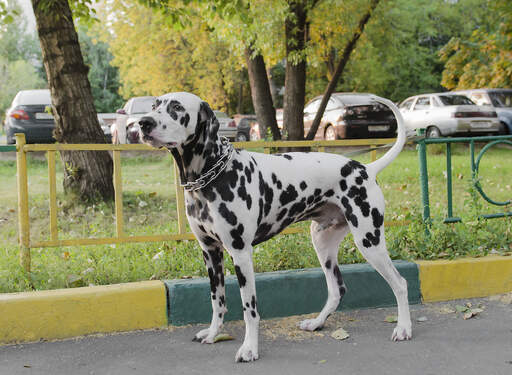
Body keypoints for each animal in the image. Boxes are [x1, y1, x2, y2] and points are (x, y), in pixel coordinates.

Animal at [139, 91, 412, 362]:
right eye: (154, 104)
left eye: (176, 107)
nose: (143, 123)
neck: (215, 174)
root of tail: (366, 169)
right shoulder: (210, 252)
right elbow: (217, 300)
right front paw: (214, 333)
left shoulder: (241, 254)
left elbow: (249, 309)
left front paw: (250, 348)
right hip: (323, 244)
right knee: (337, 289)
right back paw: (317, 323)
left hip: (369, 242)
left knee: (400, 283)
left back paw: (404, 327)